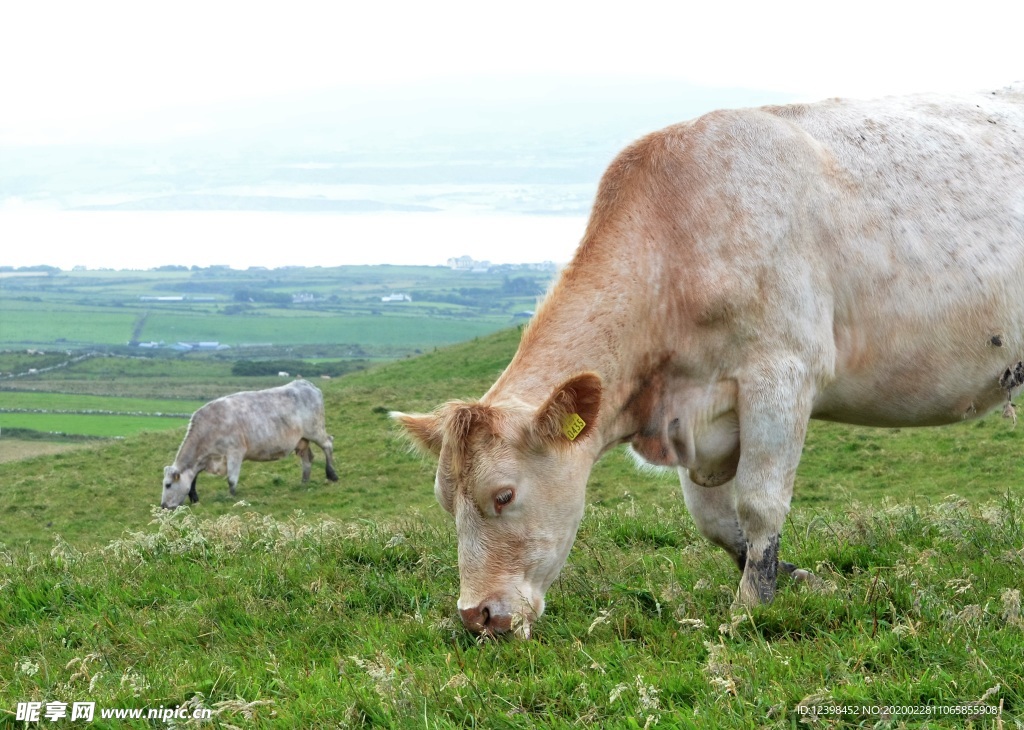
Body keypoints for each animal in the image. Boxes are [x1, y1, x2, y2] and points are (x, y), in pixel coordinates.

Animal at [159, 378, 335, 509]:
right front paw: (195, 498)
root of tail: (306, 384)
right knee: (307, 458)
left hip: (315, 430)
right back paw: (304, 482)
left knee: (328, 444)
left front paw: (231, 496)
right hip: (302, 440)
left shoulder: (235, 452)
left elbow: (231, 479)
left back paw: (332, 475)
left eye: (168, 485)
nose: (163, 506)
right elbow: (194, 478)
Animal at [395, 83, 1024, 630]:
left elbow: (760, 505)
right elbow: (717, 523)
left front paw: (749, 608)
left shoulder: (782, 374)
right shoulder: (690, 415)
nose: (476, 615)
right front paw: (797, 579)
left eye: (503, 495)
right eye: (443, 499)